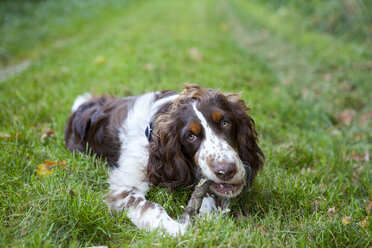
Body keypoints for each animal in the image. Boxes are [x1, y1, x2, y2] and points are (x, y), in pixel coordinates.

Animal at [64, 84, 264, 235]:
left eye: (225, 123)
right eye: (191, 136)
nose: (226, 170)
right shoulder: (124, 188)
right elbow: (152, 209)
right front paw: (179, 230)